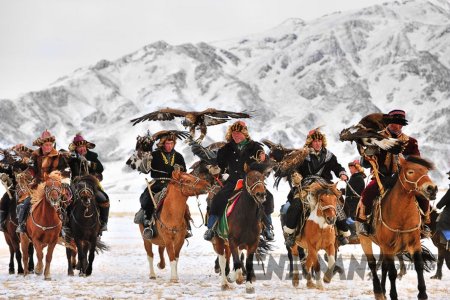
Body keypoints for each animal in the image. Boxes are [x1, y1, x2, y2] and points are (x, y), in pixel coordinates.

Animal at [212, 163, 270, 294]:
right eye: (250, 178)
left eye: (263, 178)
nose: (261, 194)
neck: (246, 217)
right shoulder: (233, 241)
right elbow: (237, 262)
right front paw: (233, 277)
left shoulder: (253, 243)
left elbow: (248, 264)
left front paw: (249, 286)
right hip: (220, 241)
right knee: (223, 260)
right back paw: (224, 283)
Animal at [356, 156, 438, 300]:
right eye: (410, 172)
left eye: (426, 171)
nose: (432, 189)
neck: (401, 214)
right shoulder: (389, 246)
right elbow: (392, 272)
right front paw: (393, 295)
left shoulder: (414, 244)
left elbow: (419, 266)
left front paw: (422, 294)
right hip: (364, 240)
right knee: (372, 264)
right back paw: (378, 291)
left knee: (383, 266)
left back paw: (383, 290)